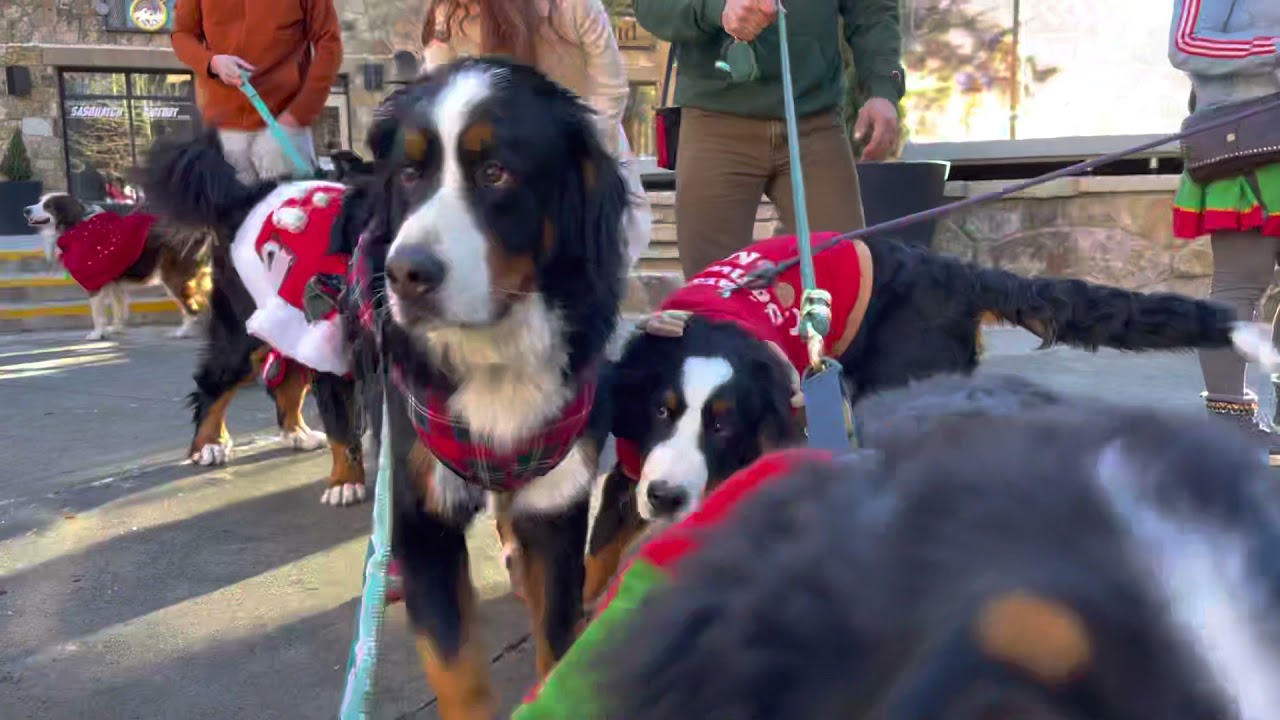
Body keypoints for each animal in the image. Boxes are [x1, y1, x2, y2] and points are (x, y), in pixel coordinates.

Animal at [24, 189, 209, 338]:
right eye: (41, 201)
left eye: (48, 206)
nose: (26, 210)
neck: (77, 227)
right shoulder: (113, 282)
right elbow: (118, 308)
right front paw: (116, 328)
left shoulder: (94, 283)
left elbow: (97, 314)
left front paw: (97, 334)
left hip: (173, 278)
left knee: (191, 308)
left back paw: (183, 332)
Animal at [343, 58, 627, 712]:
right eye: (411, 173)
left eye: (495, 172)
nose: (406, 273)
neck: (494, 351)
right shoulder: (423, 519)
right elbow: (460, 671)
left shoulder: (557, 501)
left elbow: (557, 636)